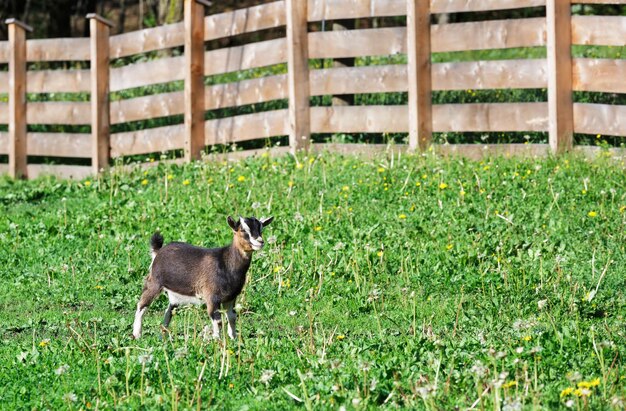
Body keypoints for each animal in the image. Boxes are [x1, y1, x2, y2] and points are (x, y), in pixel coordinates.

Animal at [133, 216, 272, 342]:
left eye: (261, 229)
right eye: (243, 230)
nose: (260, 241)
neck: (226, 263)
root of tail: (158, 251)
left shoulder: (231, 297)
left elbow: (232, 317)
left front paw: (234, 339)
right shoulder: (212, 297)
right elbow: (217, 320)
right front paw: (217, 341)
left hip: (174, 295)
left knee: (169, 311)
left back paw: (163, 336)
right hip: (155, 282)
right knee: (142, 305)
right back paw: (137, 334)